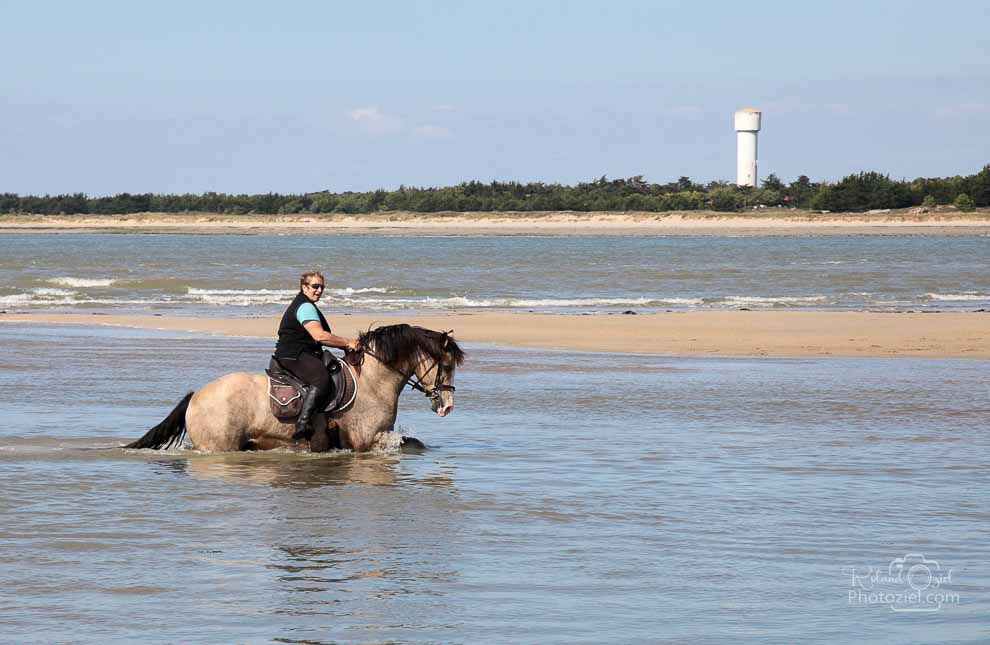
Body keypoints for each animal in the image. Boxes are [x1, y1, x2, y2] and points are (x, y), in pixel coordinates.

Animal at [125, 322, 464, 452]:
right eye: (447, 365)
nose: (447, 406)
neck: (372, 382)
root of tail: (197, 395)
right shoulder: (366, 441)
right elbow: (411, 443)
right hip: (220, 445)